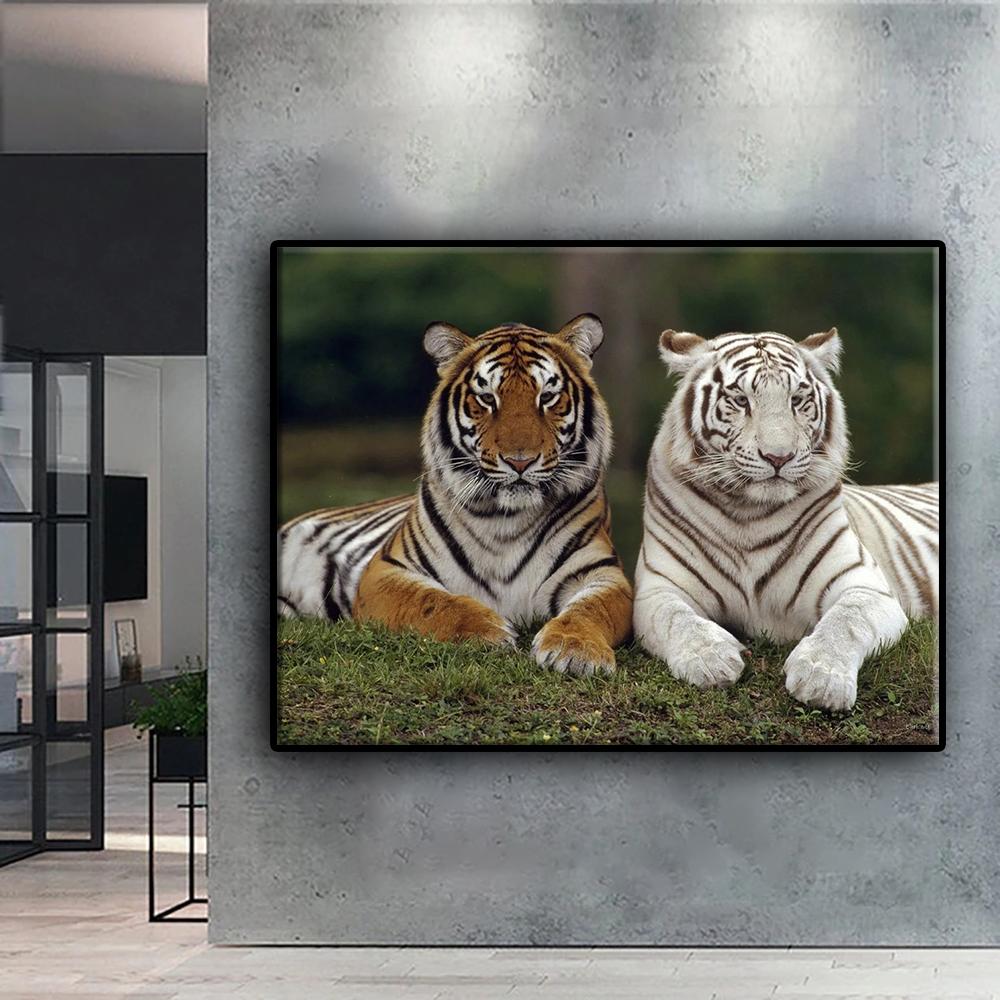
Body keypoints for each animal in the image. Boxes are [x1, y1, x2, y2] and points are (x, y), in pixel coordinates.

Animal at [279, 314, 633, 677]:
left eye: (547, 396)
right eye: (487, 398)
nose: (520, 461)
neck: (506, 519)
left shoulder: (602, 573)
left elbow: (591, 609)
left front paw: (576, 650)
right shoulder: (387, 570)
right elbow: (431, 601)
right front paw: (487, 630)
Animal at [633, 326, 938, 712]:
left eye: (797, 400)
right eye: (741, 400)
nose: (778, 457)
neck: (748, 514)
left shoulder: (865, 586)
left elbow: (846, 621)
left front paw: (821, 678)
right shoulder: (658, 589)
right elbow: (677, 619)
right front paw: (711, 659)